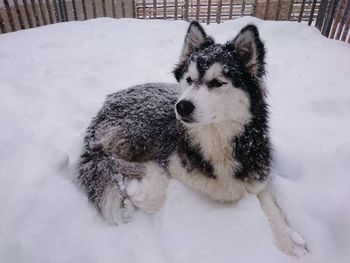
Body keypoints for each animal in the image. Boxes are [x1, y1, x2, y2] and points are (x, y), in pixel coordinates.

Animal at [78, 21, 306, 256]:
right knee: (107, 157)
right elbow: (153, 194)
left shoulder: (258, 176)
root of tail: (108, 101)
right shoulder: (169, 159)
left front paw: (289, 242)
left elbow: (272, 208)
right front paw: (139, 186)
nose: (182, 106)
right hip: (139, 133)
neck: (215, 138)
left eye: (217, 82)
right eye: (189, 79)